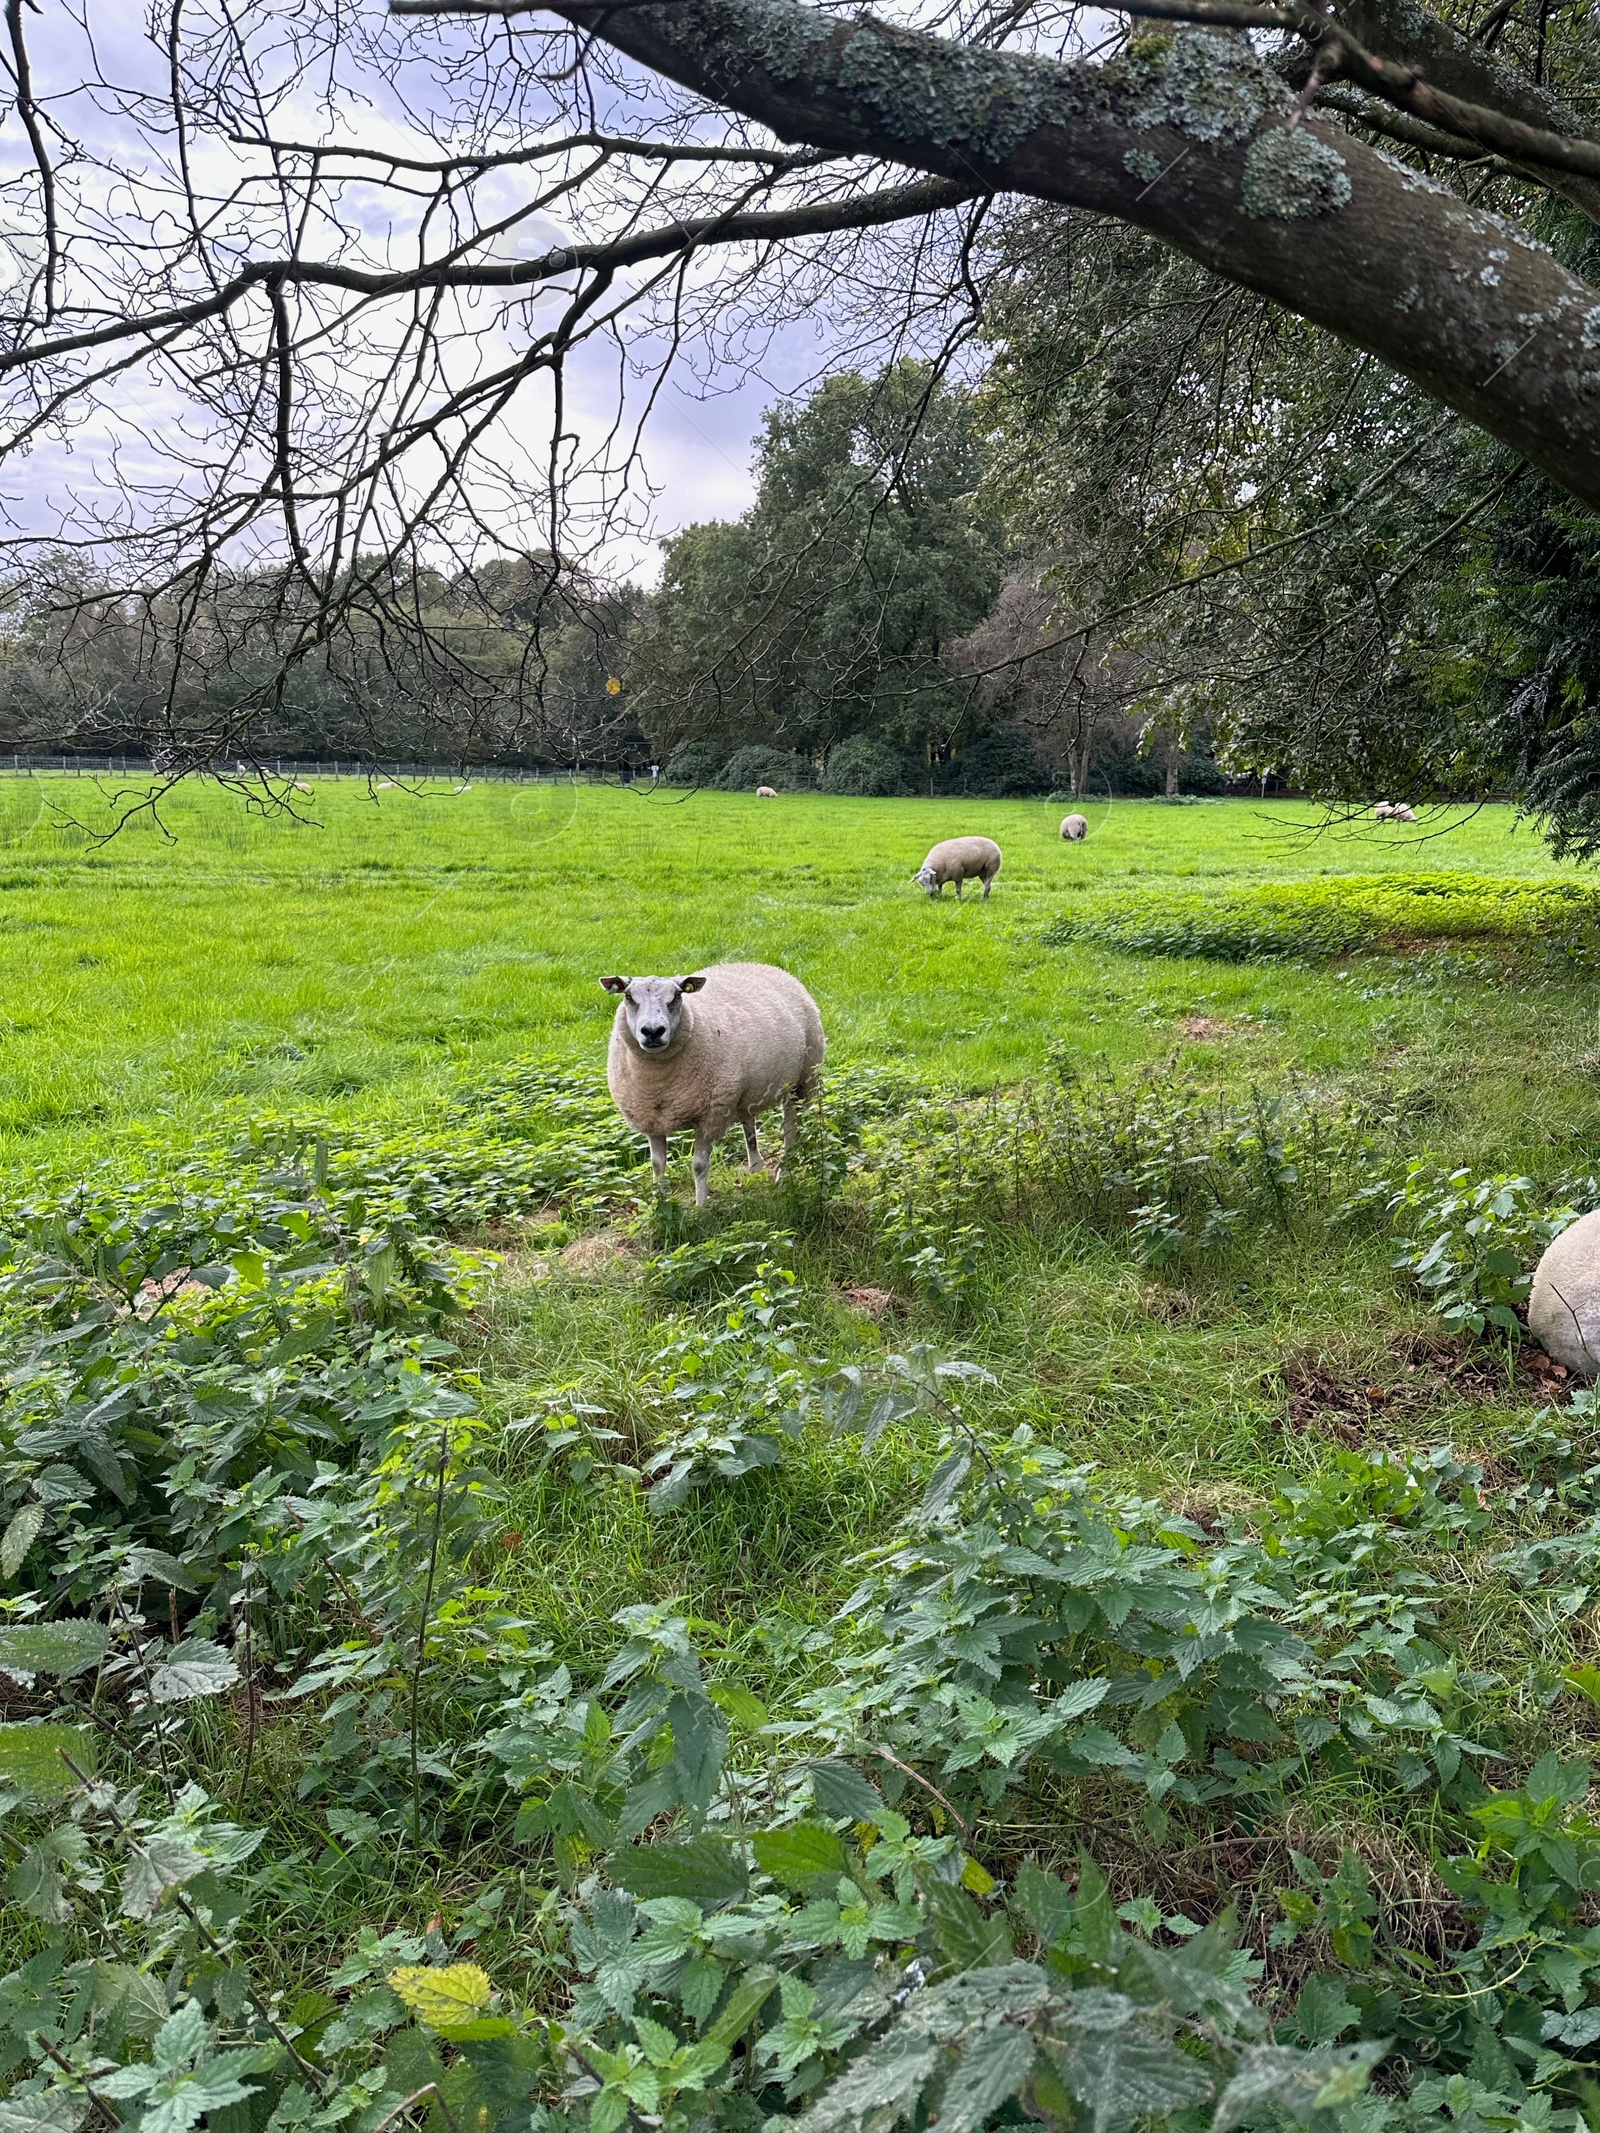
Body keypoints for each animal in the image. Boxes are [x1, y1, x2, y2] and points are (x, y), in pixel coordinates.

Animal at [601, 964, 827, 1211]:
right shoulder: (652, 1121)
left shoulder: (709, 1118)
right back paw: (756, 1166)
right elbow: (657, 1167)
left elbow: (699, 1166)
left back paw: (786, 1171)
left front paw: (701, 1207)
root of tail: (767, 966)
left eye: (677, 996)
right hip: (743, 1093)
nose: (653, 1031)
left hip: (803, 1078)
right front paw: (659, 1206)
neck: (659, 1083)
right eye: (628, 996)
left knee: (790, 1126)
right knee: (749, 1124)